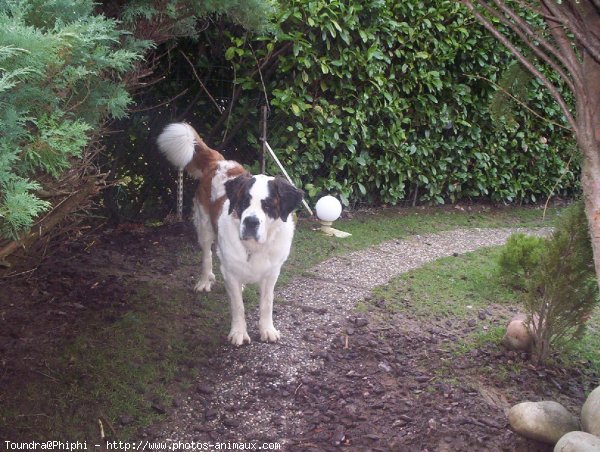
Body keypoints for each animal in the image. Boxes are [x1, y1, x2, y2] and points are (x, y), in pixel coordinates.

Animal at [157, 122, 304, 344]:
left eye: (268, 205)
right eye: (244, 202)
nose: (251, 221)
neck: (254, 247)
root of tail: (218, 161)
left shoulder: (272, 273)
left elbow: (267, 303)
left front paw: (267, 329)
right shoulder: (230, 271)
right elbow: (238, 305)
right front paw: (239, 332)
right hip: (204, 227)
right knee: (206, 255)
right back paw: (204, 281)